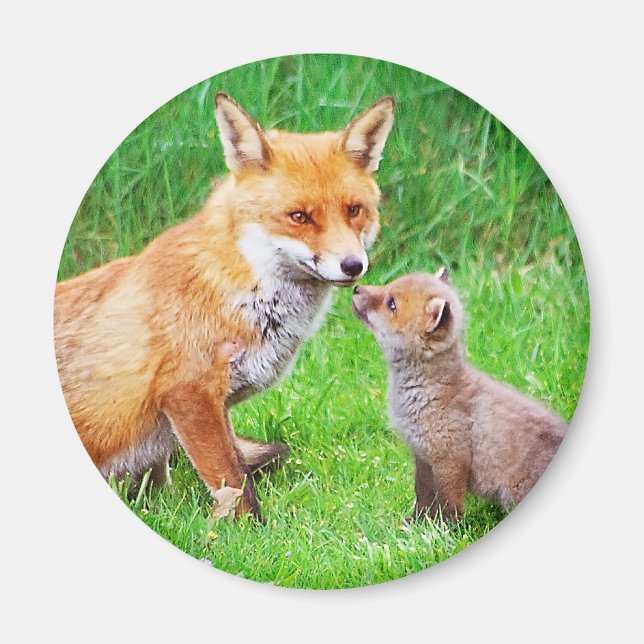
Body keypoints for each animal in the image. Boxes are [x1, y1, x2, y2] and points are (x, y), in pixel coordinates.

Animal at [55, 93, 395, 520]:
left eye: (354, 210)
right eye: (299, 217)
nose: (353, 266)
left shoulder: (210, 412)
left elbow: (228, 474)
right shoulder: (190, 395)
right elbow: (234, 484)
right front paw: (248, 531)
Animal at [352, 269, 567, 521]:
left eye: (391, 304)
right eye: (388, 287)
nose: (356, 288)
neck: (428, 393)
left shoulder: (450, 457)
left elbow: (450, 501)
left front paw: (448, 527)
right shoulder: (422, 456)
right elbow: (422, 495)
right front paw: (415, 523)